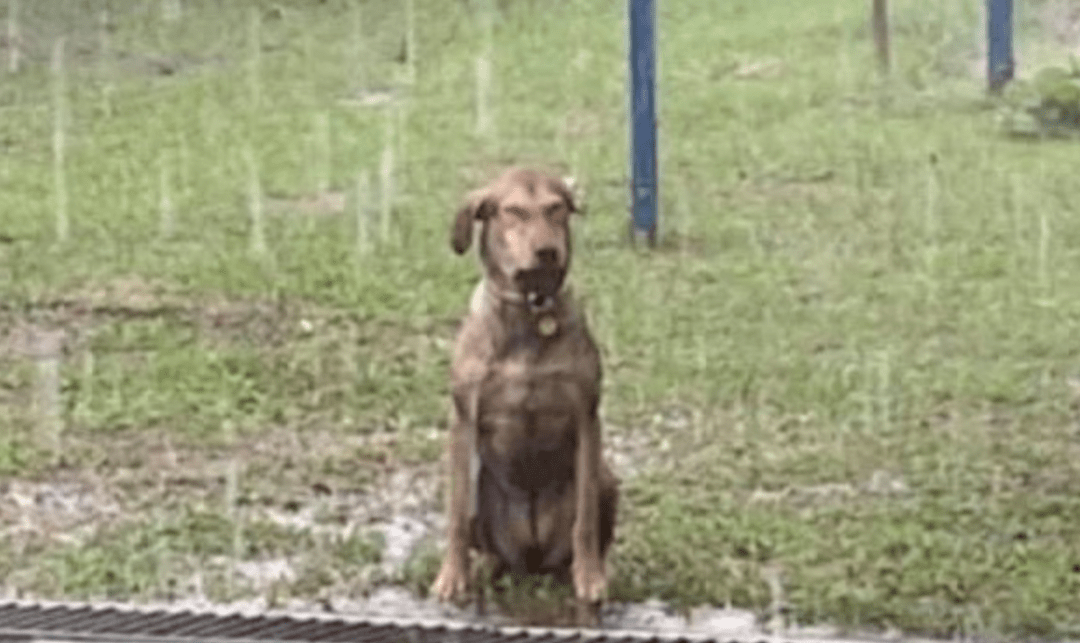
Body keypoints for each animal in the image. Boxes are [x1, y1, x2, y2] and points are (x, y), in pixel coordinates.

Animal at [429, 168, 617, 618]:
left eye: (556, 208)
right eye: (512, 211)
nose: (547, 251)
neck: (531, 311)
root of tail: (531, 558)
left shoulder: (587, 418)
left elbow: (585, 520)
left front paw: (590, 578)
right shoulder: (462, 419)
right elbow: (455, 513)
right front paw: (451, 576)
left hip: (607, 477)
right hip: (481, 481)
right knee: (481, 535)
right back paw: (484, 569)